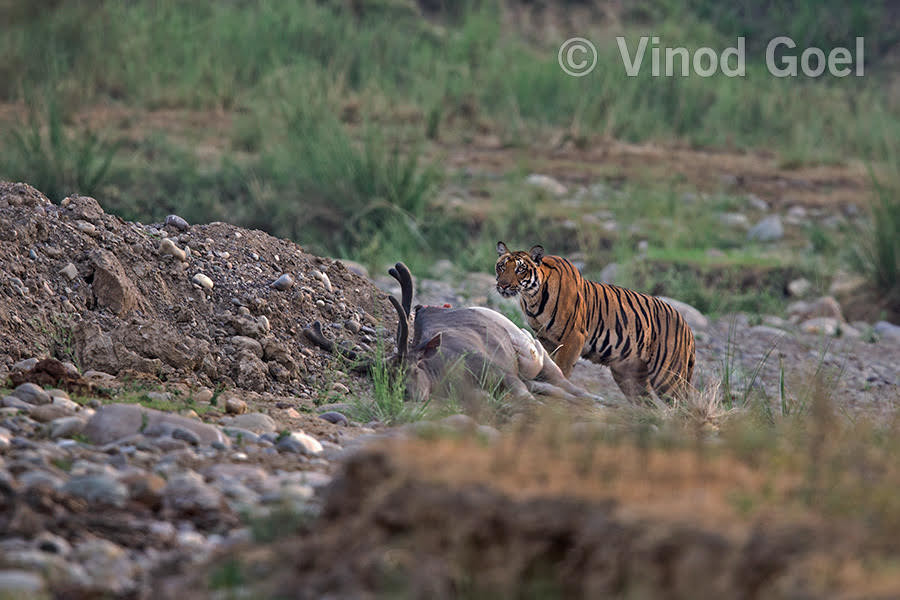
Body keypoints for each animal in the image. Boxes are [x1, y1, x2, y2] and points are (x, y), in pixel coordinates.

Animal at [492, 240, 696, 404]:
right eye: (501, 267)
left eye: (520, 269)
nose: (502, 285)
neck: (532, 299)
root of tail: (687, 327)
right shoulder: (545, 340)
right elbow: (548, 365)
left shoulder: (573, 337)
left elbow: (561, 368)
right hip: (630, 375)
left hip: (667, 376)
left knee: (683, 407)